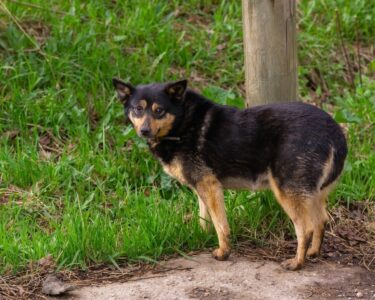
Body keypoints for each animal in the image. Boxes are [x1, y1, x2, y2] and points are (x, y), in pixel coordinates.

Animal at [113, 77, 348, 270]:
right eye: (138, 109)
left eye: (159, 110)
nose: (144, 131)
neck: (182, 124)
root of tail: (334, 131)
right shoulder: (201, 187)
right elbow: (204, 217)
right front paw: (202, 235)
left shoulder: (210, 185)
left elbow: (221, 225)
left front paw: (223, 252)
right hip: (313, 192)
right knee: (321, 219)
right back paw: (313, 252)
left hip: (287, 191)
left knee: (306, 228)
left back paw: (297, 262)